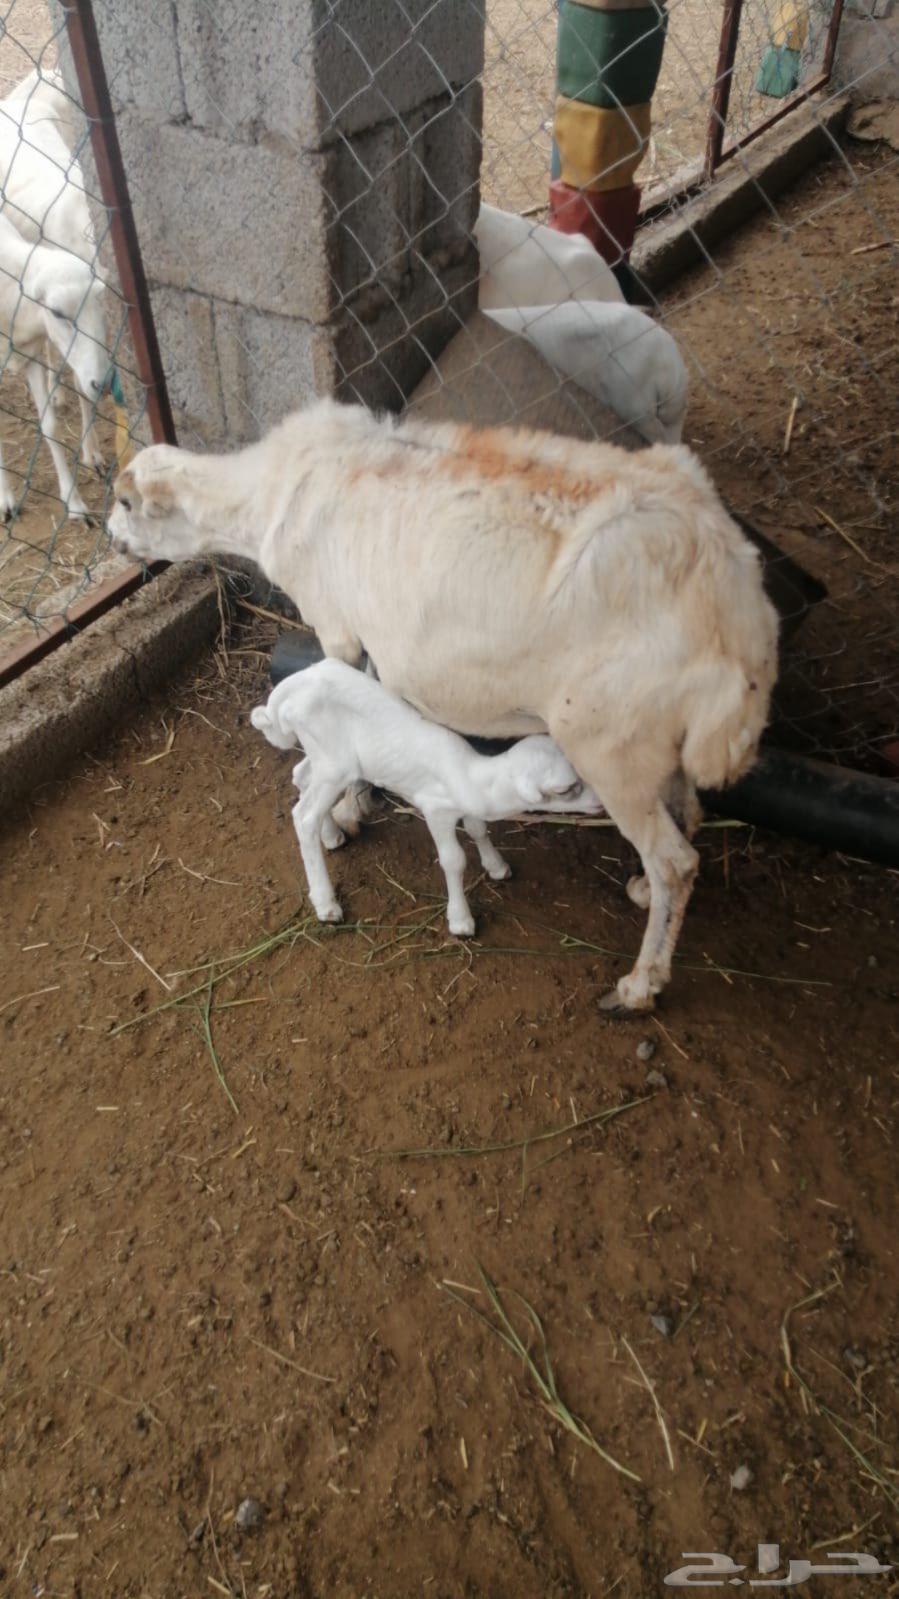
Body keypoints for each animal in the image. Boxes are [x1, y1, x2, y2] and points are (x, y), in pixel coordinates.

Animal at [0, 212, 109, 519]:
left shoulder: (31, 356)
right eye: (57, 312)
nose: (102, 383)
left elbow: (49, 427)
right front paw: (5, 499)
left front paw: (73, 502)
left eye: (100, 303)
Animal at [251, 660, 603, 935]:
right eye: (565, 789)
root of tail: (289, 689)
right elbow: (453, 860)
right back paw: (326, 903)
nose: (601, 802)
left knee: (301, 777)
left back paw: (332, 836)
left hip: (324, 756)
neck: (473, 776)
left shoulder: (466, 805)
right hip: (335, 764)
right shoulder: (436, 810)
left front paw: (497, 866)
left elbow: (478, 829)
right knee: (304, 816)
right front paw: (461, 921)